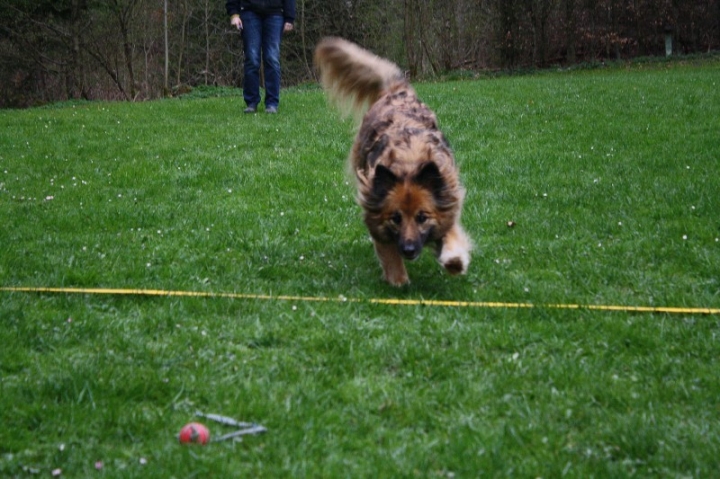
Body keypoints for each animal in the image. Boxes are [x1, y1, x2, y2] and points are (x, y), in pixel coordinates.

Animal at [312, 38, 470, 284]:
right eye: (395, 218)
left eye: (422, 217)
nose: (408, 250)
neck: (408, 166)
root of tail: (397, 91)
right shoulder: (374, 206)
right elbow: (388, 252)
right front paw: (398, 280)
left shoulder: (447, 194)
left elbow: (451, 232)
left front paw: (454, 260)